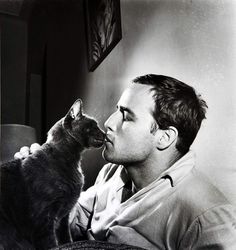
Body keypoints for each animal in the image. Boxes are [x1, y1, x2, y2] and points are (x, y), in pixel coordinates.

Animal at [0, 98, 105, 249]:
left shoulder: (64, 217)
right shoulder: (44, 217)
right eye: (93, 126)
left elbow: (66, 238)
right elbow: (51, 243)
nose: (105, 133)